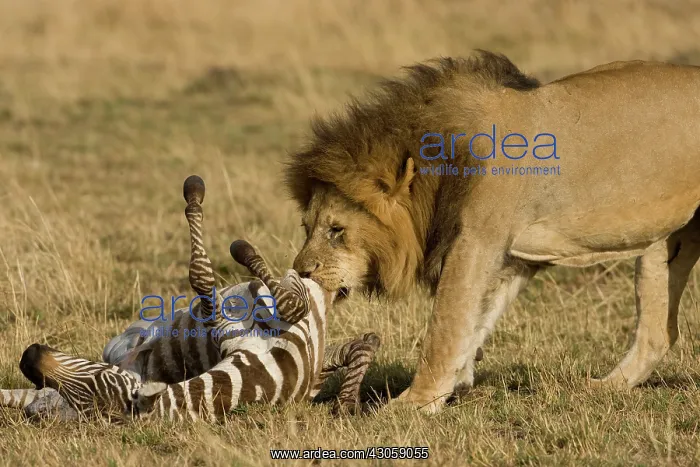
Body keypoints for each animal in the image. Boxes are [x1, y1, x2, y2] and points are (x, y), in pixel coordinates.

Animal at [0, 175, 381, 421]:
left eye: (98, 378)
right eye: (72, 392)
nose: (28, 357)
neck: (259, 375)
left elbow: (212, 281)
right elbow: (207, 280)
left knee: (359, 334)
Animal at [284, 50, 700, 413]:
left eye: (336, 230)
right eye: (306, 226)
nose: (301, 272)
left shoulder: (477, 241)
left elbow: (445, 326)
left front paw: (412, 404)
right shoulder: (511, 254)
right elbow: (476, 321)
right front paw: (455, 384)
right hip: (663, 243)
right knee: (659, 333)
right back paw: (601, 388)